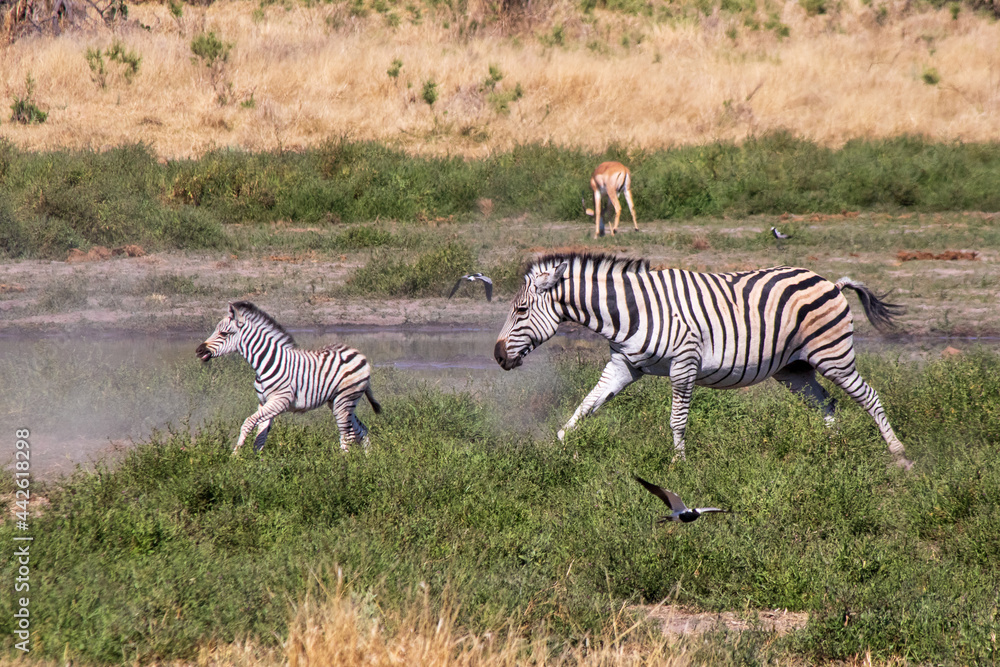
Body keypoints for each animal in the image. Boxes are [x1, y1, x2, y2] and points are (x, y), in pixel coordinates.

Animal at [196, 302, 381, 454]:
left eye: (224, 333)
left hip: (344, 400)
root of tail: (359, 354)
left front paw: (235, 456)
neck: (266, 362)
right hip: (338, 401)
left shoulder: (280, 401)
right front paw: (257, 464)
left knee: (347, 436)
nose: (199, 351)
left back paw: (343, 466)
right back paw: (368, 461)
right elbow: (260, 436)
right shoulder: (264, 402)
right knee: (360, 430)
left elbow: (248, 423)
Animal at [493, 253, 913, 470]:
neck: (629, 311)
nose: (497, 356)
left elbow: (677, 419)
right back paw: (831, 450)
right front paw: (560, 446)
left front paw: (679, 466)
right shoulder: (624, 366)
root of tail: (831, 281)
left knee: (868, 397)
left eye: (521, 309)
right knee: (827, 402)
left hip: (833, 355)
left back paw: (899, 455)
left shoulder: (685, 362)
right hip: (793, 369)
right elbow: (587, 406)